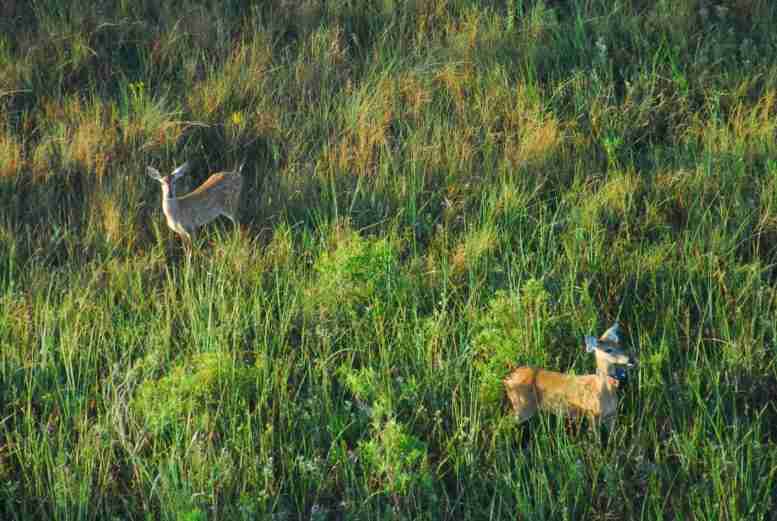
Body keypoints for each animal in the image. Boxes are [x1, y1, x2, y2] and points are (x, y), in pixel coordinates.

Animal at [504, 322, 636, 428]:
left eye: (619, 345)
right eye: (608, 350)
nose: (631, 359)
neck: (604, 389)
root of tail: (508, 378)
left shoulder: (612, 416)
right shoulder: (592, 414)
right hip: (522, 406)